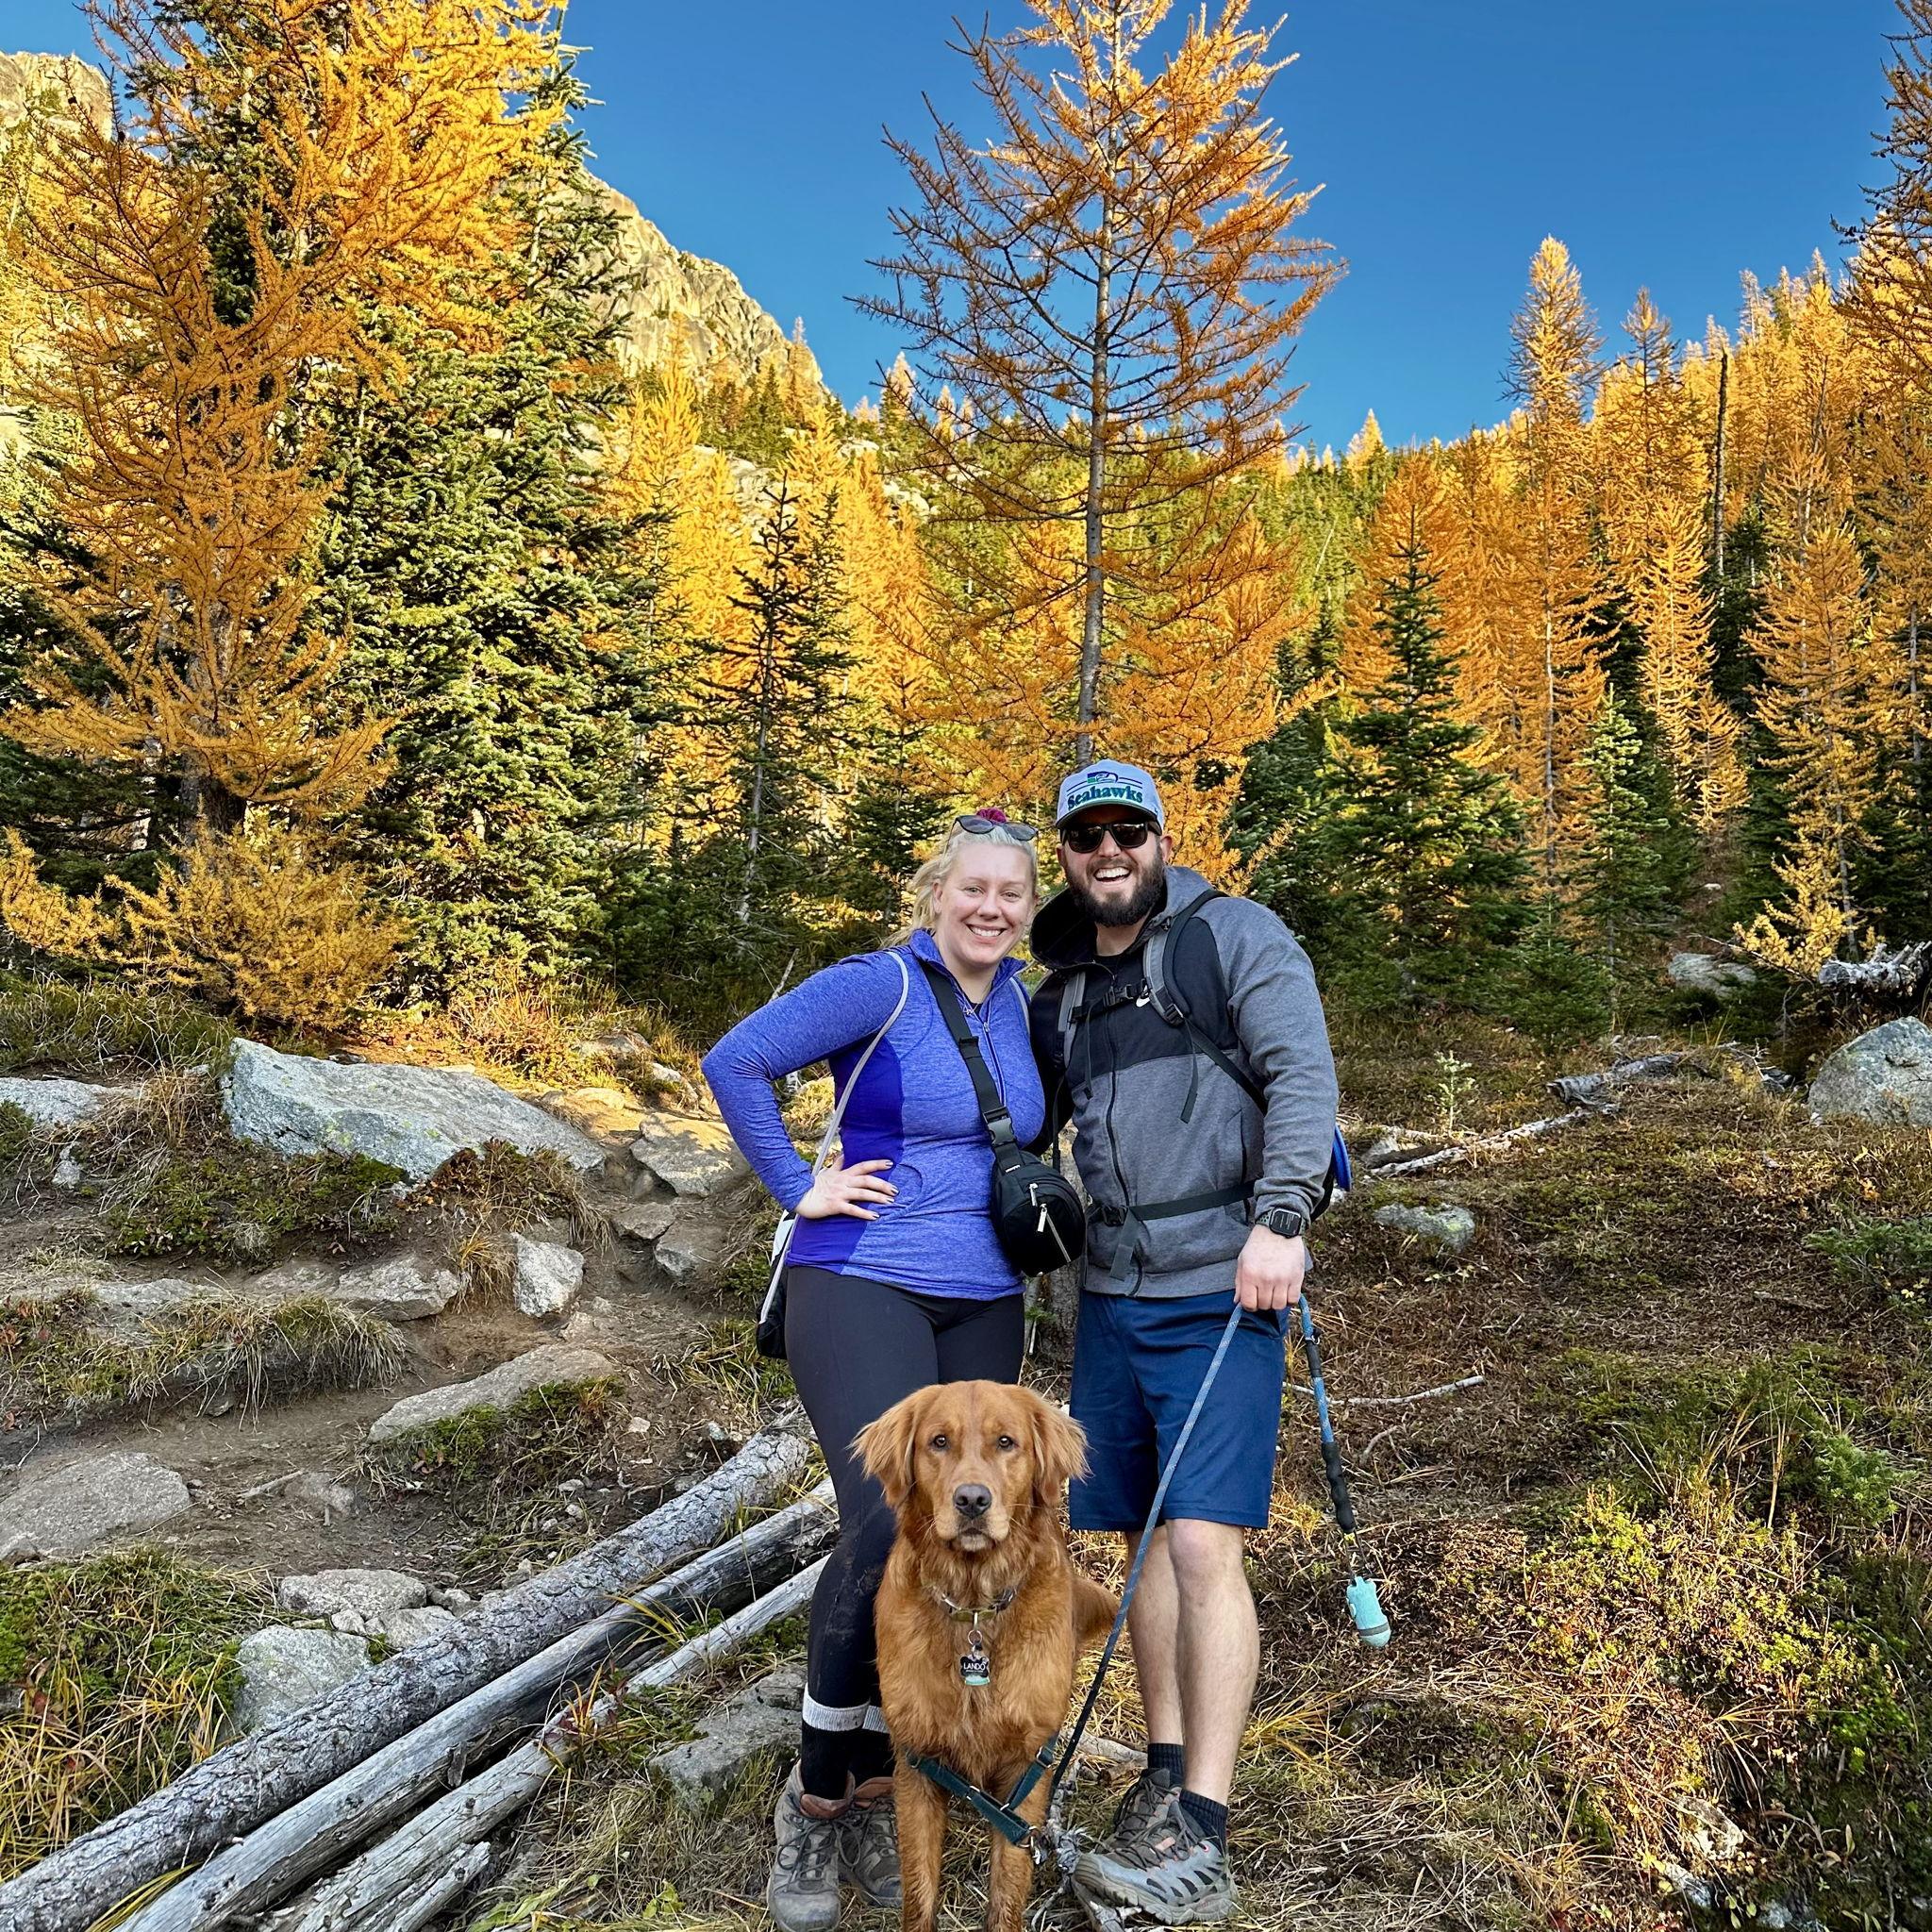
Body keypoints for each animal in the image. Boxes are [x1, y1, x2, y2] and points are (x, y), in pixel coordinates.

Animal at [856, 1379, 1118, 1932]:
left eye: (1006, 1442)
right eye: (938, 1442)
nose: (972, 1500)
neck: (974, 1605)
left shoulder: (1025, 1772)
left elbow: (1006, 1892)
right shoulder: (917, 1764)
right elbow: (919, 1892)